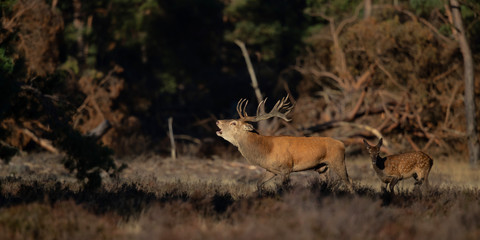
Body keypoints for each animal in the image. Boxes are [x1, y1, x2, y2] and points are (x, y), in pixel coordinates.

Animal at [217, 95, 352, 191]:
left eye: (233, 123)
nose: (218, 121)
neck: (266, 150)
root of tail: (342, 144)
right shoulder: (270, 170)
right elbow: (258, 184)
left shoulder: (286, 168)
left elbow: (283, 188)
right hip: (321, 168)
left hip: (338, 161)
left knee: (349, 182)